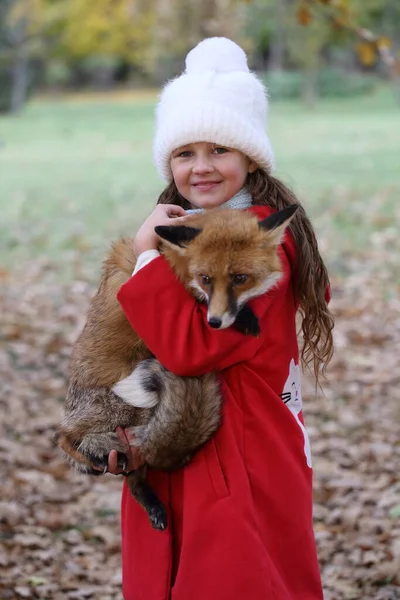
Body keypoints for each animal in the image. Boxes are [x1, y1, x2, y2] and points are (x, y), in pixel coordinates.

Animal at [57, 205, 298, 528]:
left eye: (240, 278)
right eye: (206, 278)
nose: (215, 322)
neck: (174, 262)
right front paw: (244, 317)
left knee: (134, 475)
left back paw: (151, 503)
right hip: (120, 409)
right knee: (64, 435)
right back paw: (91, 455)